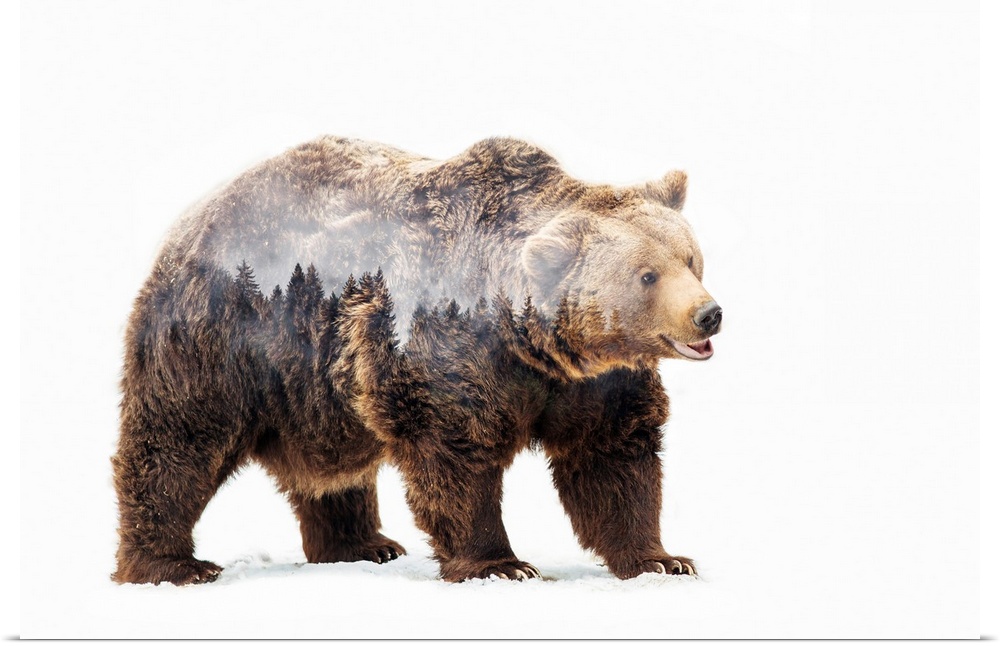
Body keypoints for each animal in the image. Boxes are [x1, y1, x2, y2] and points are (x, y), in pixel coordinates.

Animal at [111, 136, 722, 585]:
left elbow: (613, 458)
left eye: (692, 259)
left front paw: (662, 558)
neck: (533, 342)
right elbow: (455, 454)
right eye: (647, 275)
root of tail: (192, 217)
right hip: (223, 336)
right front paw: (502, 564)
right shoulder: (446, 347)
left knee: (332, 472)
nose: (708, 314)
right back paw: (172, 564)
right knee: (179, 441)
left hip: (316, 387)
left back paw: (362, 544)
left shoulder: (594, 383)